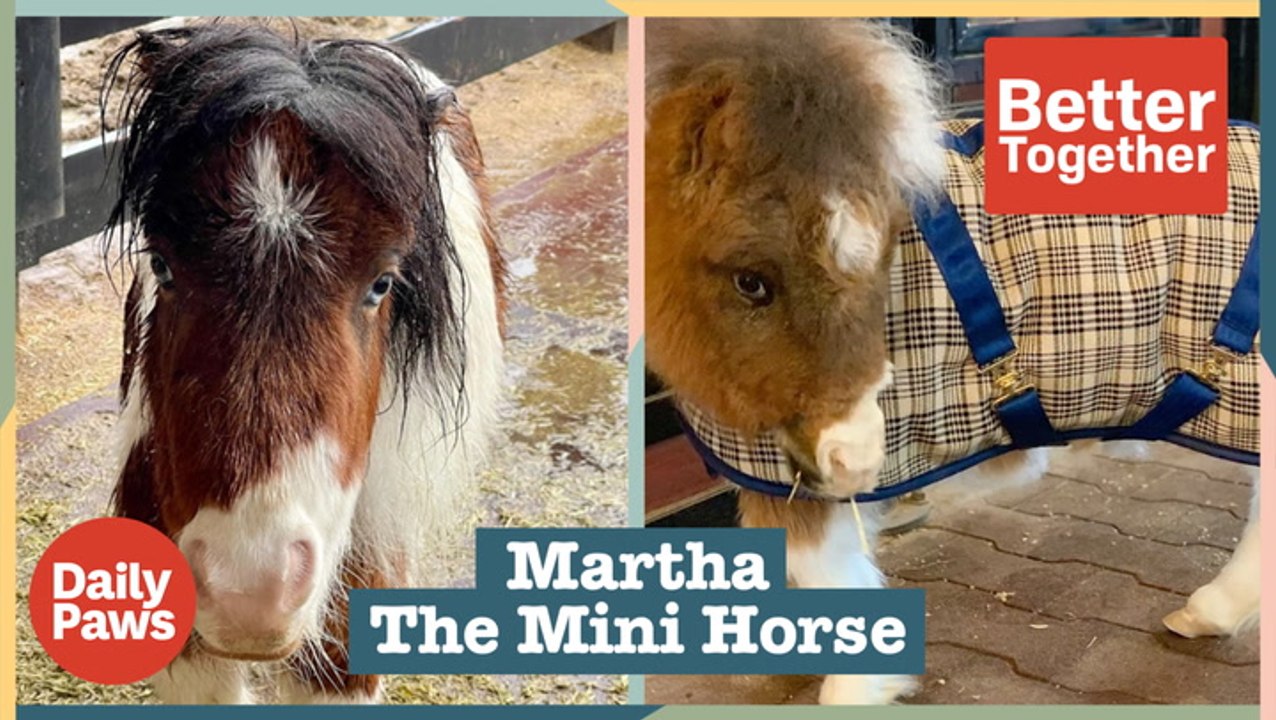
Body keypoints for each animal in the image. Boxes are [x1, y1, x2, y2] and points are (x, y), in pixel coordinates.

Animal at [645, 18, 1259, 704]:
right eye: (751, 281)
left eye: (883, 255)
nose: (856, 458)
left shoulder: (797, 483)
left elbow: (823, 568)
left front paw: (856, 690)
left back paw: (1209, 610)